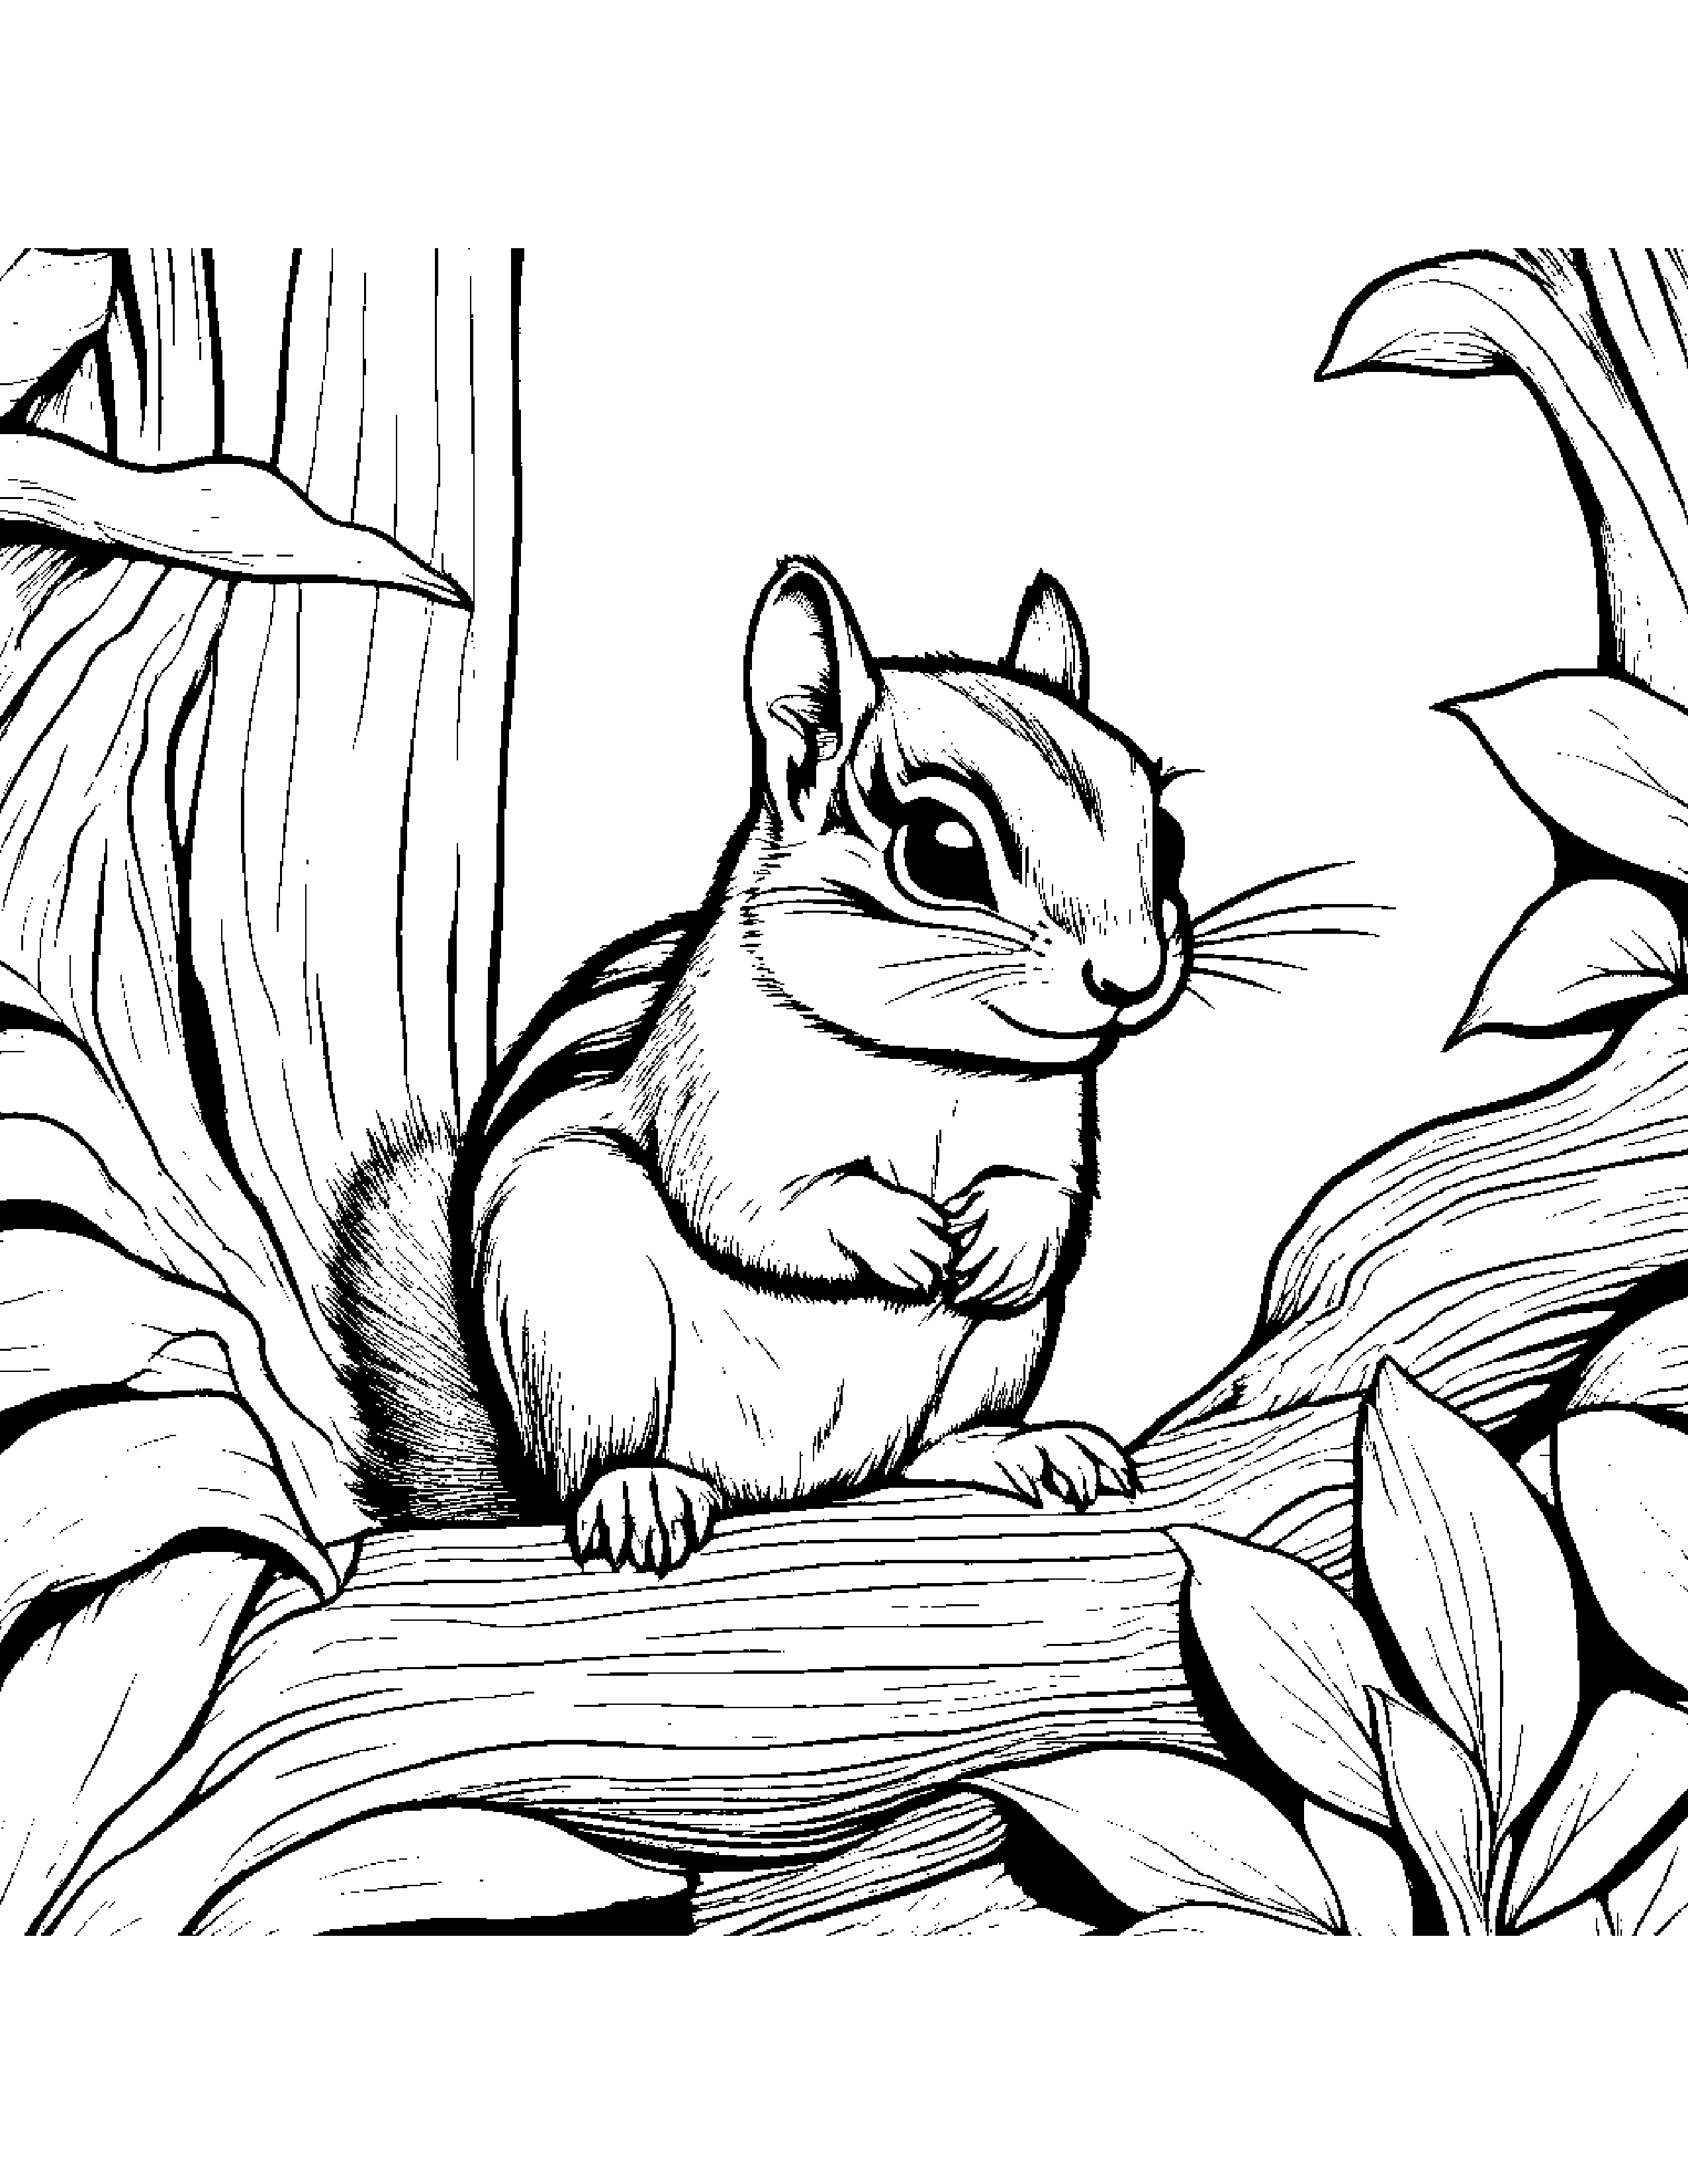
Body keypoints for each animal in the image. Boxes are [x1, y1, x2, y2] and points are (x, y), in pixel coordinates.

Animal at [327, 556, 1191, 1574]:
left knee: (930, 1445)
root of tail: (790, 1483)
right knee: (592, 1462)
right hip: (578, 1309)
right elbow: (751, 1206)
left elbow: (1051, 1196)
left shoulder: (1051, 1123)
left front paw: (1004, 1235)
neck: (935, 1066)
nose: (1128, 980)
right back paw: (637, 1489)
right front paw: (899, 1232)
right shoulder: (717, 1102)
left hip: (996, 1355)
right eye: (941, 852)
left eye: (1170, 838)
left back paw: (1014, 1447)